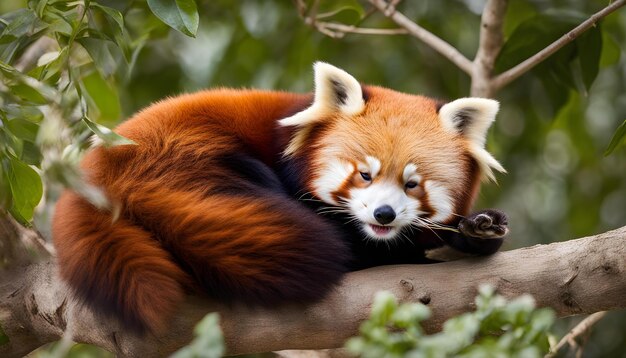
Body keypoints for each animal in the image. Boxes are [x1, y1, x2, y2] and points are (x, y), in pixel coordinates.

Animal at [51, 61, 504, 332]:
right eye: (364, 175)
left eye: (412, 183)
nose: (384, 214)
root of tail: (100, 176)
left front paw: (477, 229)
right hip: (188, 157)